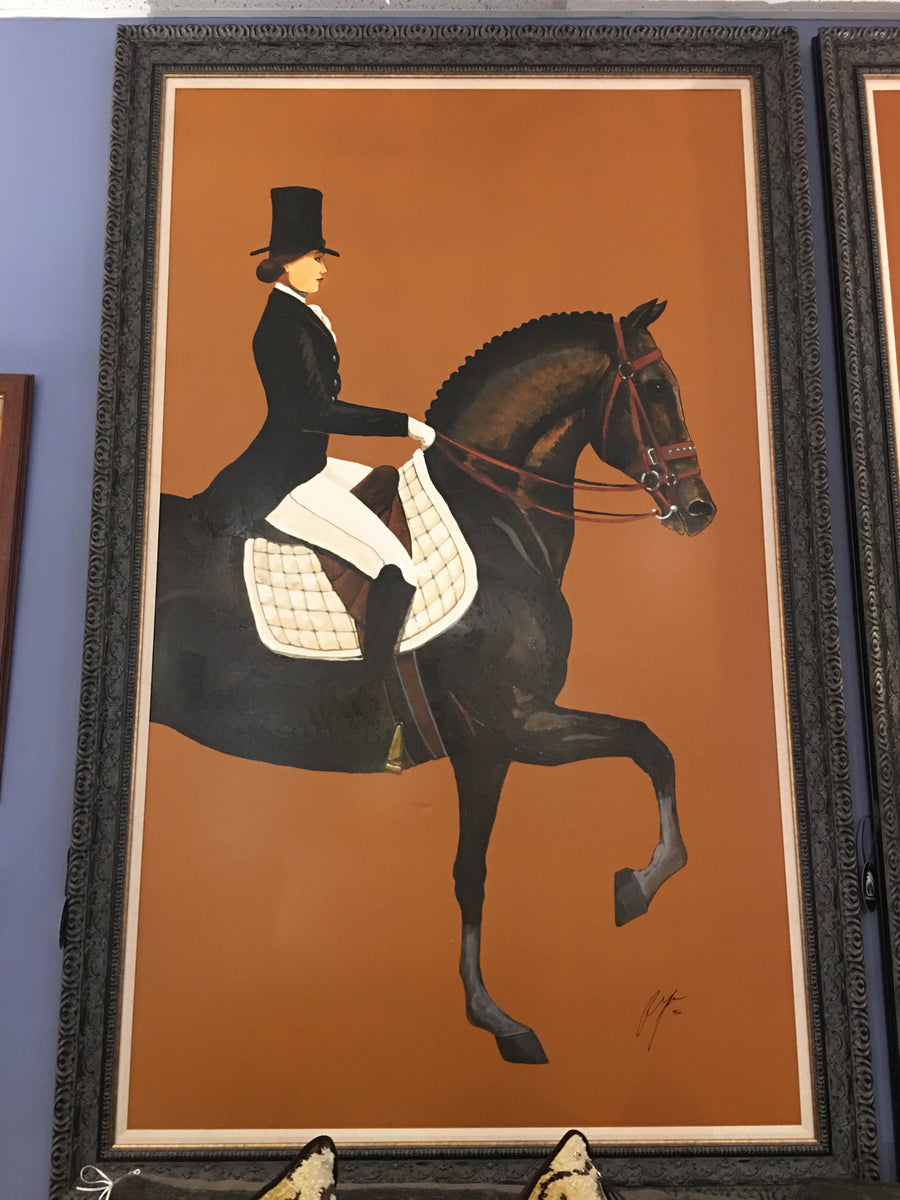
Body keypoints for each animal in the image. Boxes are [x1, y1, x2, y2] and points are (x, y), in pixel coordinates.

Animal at [151, 298, 716, 1065]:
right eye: (655, 387)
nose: (698, 509)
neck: (496, 521)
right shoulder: (506, 730)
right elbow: (485, 863)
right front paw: (499, 1013)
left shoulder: (513, 733)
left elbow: (650, 748)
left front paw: (633, 886)